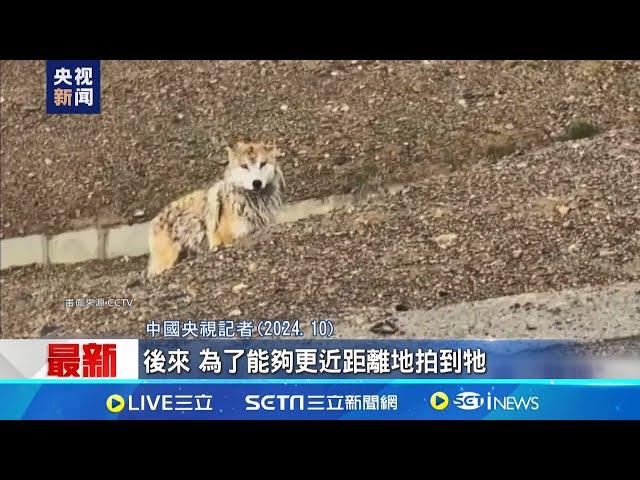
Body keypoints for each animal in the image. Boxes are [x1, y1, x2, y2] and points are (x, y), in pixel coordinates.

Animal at [148, 142, 284, 278]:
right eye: (244, 166)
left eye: (263, 163)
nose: (256, 183)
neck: (254, 202)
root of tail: (154, 220)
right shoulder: (223, 239)